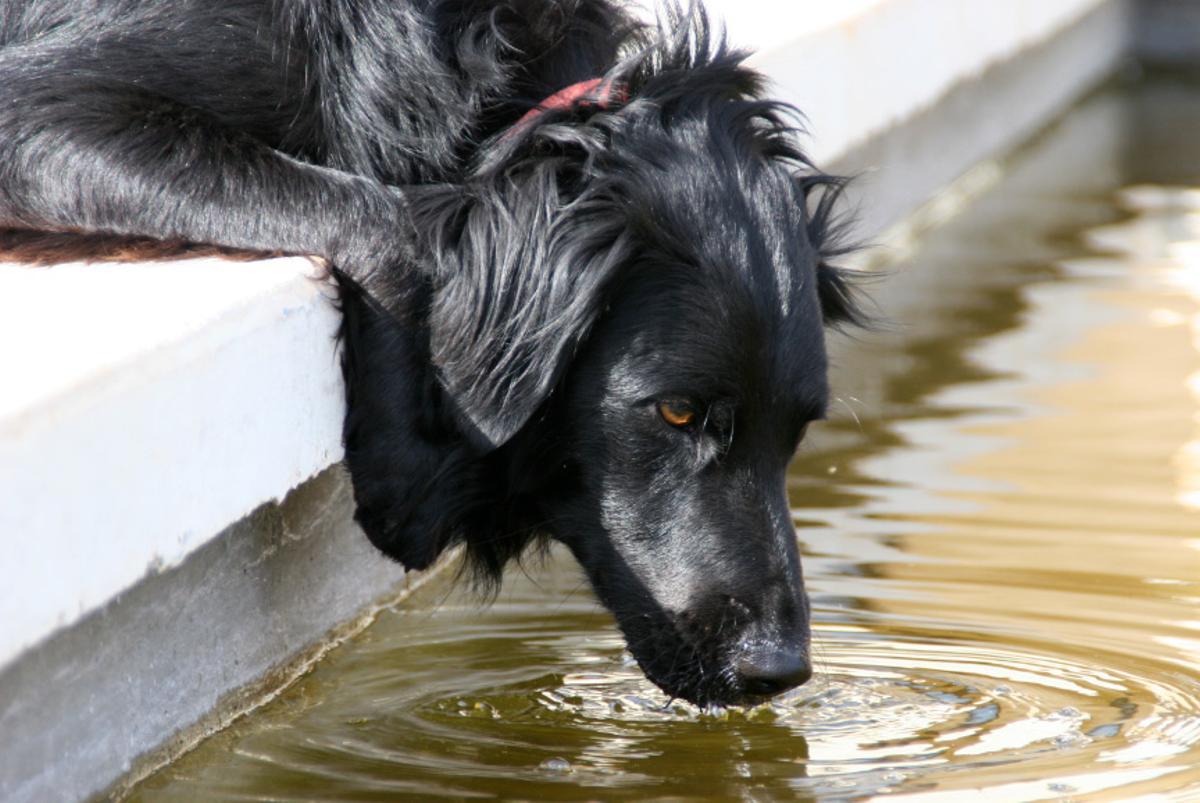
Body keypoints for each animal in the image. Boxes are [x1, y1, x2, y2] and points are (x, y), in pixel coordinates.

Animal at [2, 0, 864, 700]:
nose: (780, 669)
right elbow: (391, 221)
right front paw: (403, 476)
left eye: (797, 430)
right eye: (677, 411)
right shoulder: (36, 111)